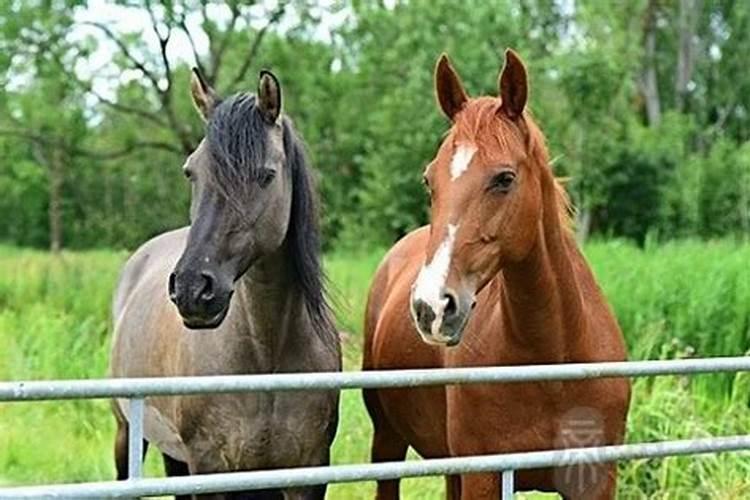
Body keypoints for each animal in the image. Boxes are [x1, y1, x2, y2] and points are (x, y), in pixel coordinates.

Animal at [111, 68, 340, 498]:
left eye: (266, 175)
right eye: (191, 171)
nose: (192, 289)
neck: (266, 355)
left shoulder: (309, 470)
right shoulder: (210, 467)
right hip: (126, 432)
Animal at [362, 51, 632, 500]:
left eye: (504, 178)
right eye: (429, 180)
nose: (431, 306)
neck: (552, 363)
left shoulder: (595, 480)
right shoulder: (483, 476)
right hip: (387, 442)